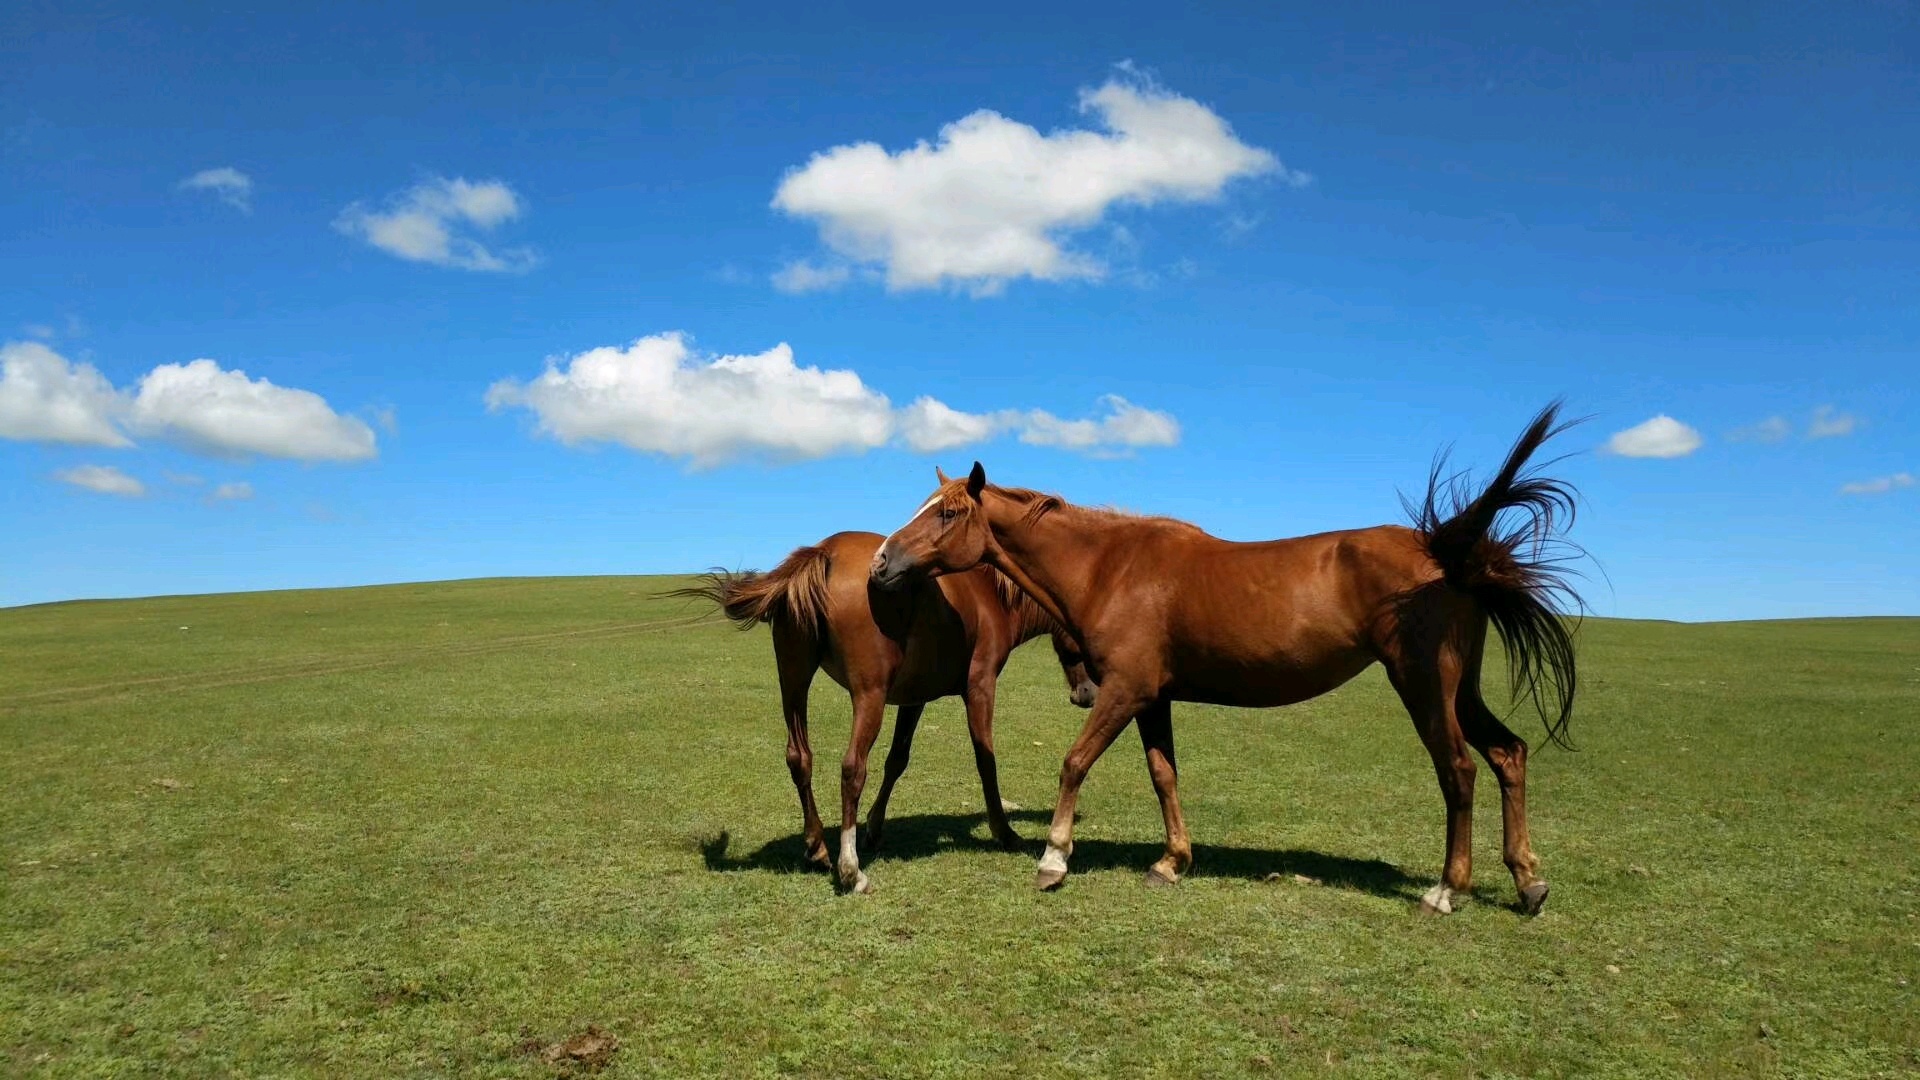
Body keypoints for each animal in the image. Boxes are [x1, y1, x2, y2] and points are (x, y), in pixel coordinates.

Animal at [675, 526, 1098, 891]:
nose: (1090, 693)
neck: (988, 593)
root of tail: (825, 551)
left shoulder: (914, 699)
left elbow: (897, 760)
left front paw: (875, 827)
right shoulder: (980, 688)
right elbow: (985, 761)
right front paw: (1004, 831)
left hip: (793, 683)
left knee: (799, 757)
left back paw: (818, 846)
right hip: (868, 696)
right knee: (852, 768)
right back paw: (850, 868)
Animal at [871, 401, 1574, 907]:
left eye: (949, 513)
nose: (881, 561)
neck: (1110, 569)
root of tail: (1446, 552)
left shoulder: (1123, 690)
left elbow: (1073, 763)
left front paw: (1053, 858)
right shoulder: (1151, 697)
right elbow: (1164, 775)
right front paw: (1171, 862)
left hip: (1424, 683)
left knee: (1459, 770)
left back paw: (1446, 889)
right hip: (1461, 688)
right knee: (1508, 754)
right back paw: (1527, 880)